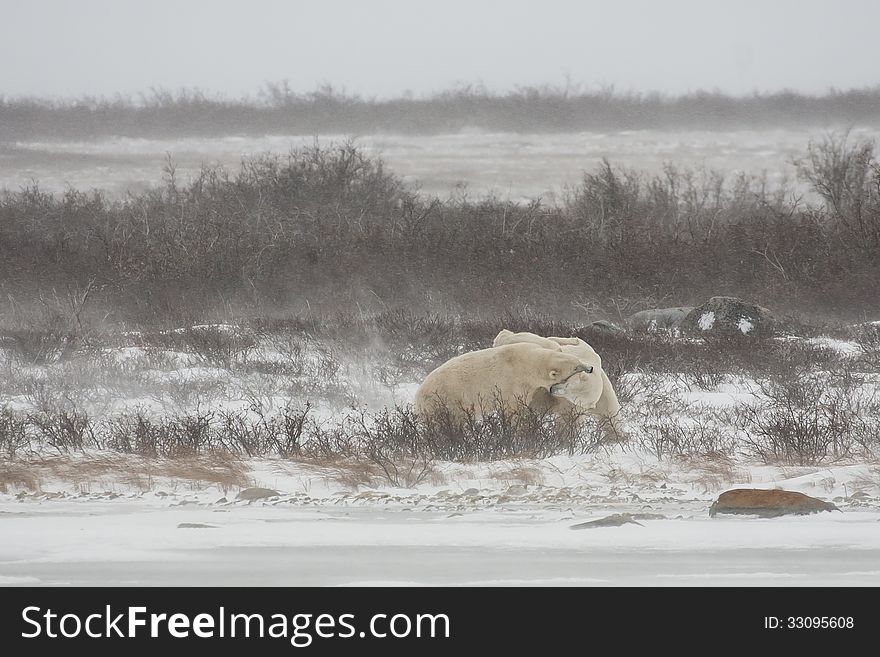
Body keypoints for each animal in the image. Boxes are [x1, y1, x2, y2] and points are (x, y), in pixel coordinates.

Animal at [414, 340, 596, 418]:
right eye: (575, 366)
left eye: (577, 360)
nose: (590, 368)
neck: (527, 361)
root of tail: (418, 394)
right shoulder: (513, 381)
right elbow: (513, 407)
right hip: (446, 398)